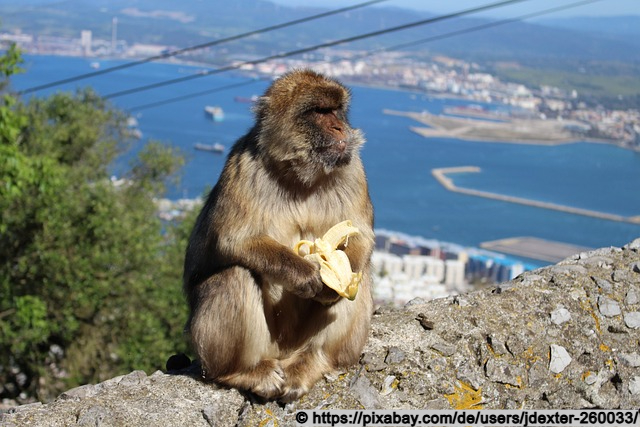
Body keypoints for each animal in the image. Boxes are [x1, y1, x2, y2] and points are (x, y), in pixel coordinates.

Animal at [182, 68, 376, 402]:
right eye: (319, 112)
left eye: (336, 110)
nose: (340, 127)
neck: (300, 175)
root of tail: (284, 353)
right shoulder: (242, 166)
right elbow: (235, 240)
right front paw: (305, 274)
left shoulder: (353, 169)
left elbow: (361, 236)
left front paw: (333, 281)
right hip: (257, 347)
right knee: (234, 275)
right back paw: (241, 372)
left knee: (357, 278)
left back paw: (311, 362)